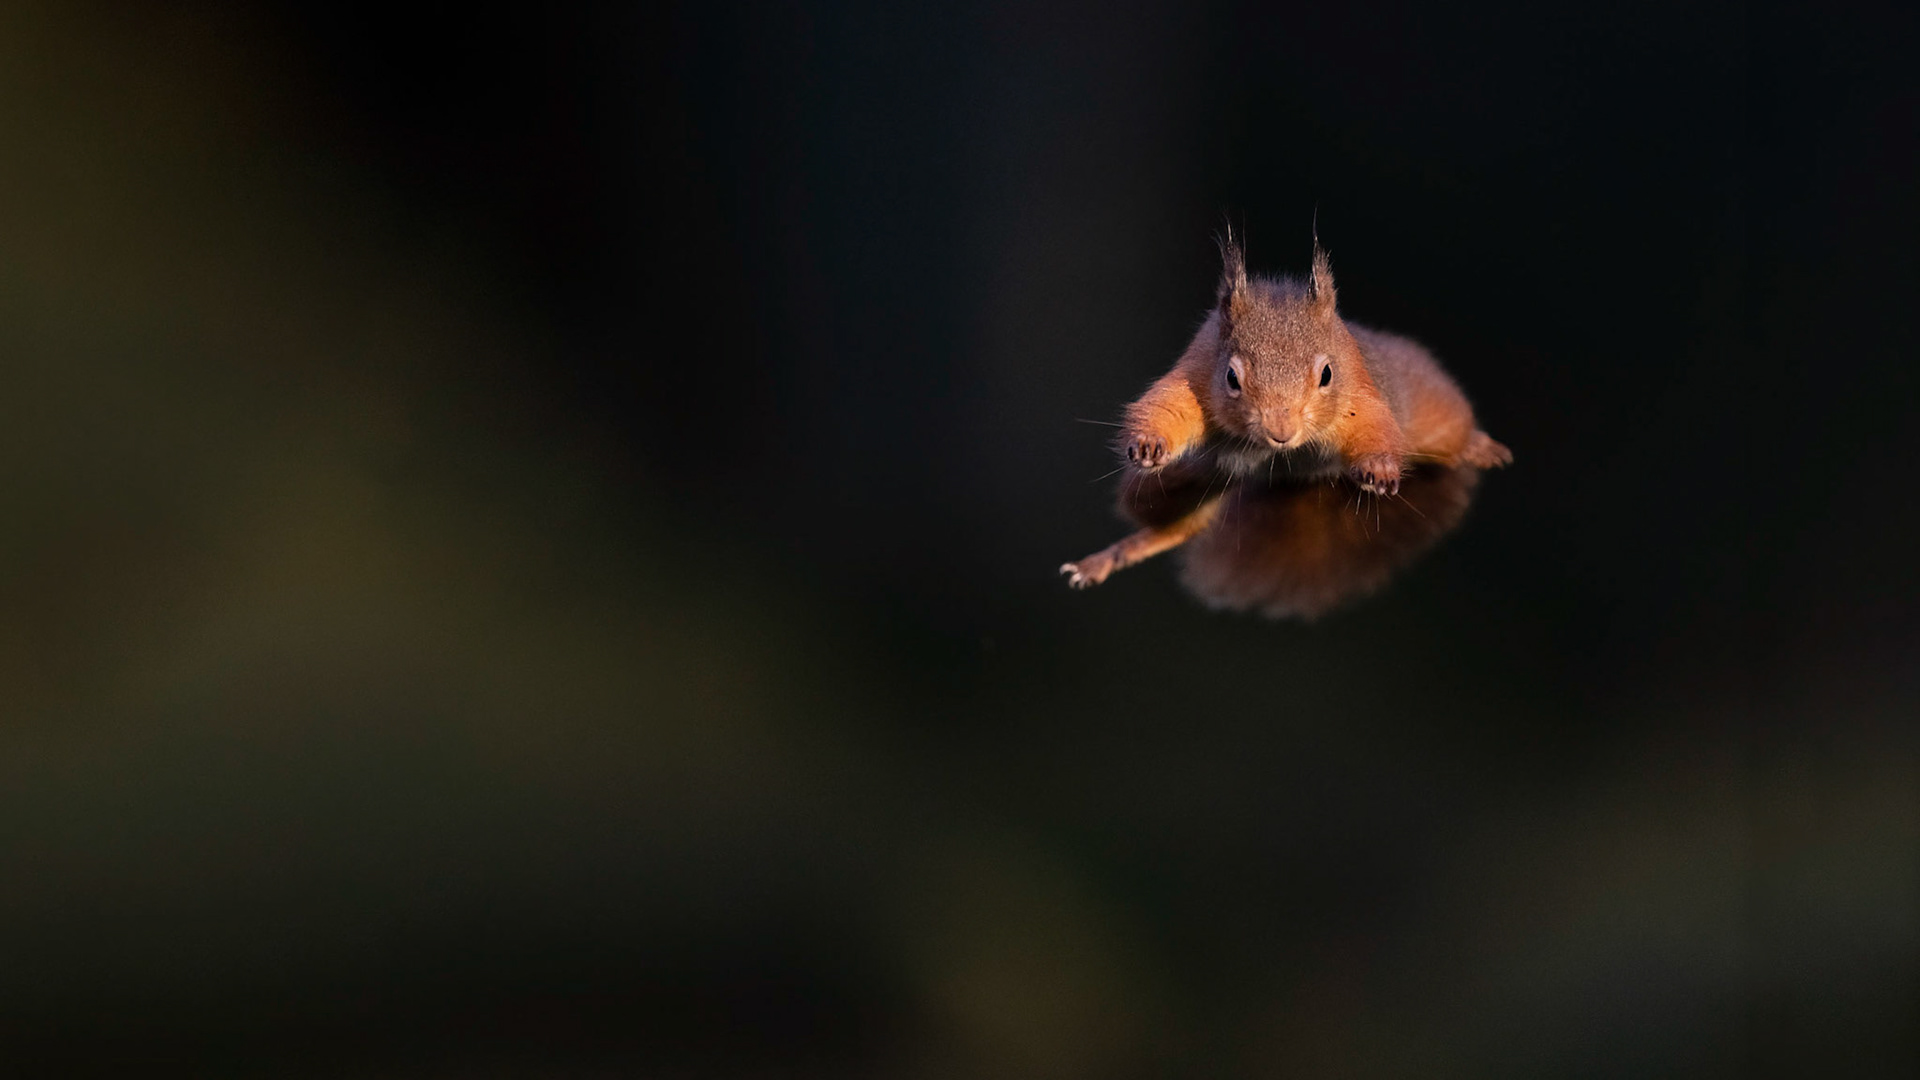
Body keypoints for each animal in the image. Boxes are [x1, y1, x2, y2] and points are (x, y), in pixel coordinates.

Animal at [1060, 233, 1512, 618]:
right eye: (1232, 377)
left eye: (1327, 374)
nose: (1281, 432)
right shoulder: (1195, 372)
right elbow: (1168, 407)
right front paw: (1148, 445)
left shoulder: (1360, 391)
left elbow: (1373, 426)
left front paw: (1379, 469)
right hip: (1200, 483)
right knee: (1173, 529)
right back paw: (1105, 559)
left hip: (1430, 412)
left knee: (1451, 433)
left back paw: (1481, 446)